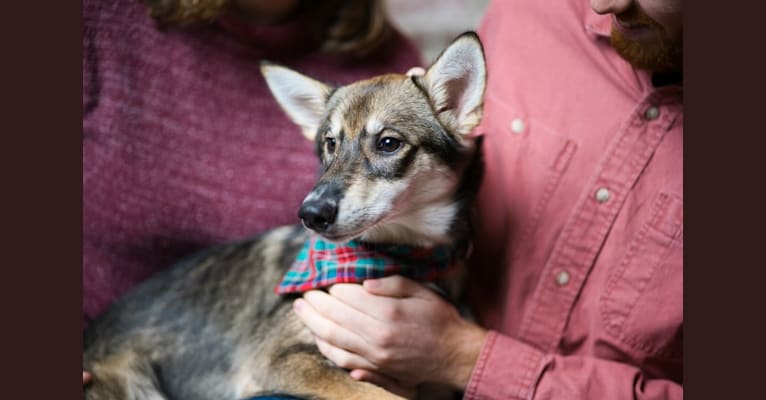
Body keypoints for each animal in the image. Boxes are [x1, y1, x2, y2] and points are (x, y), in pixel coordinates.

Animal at [84, 32, 488, 400]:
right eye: (330, 143)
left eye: (389, 143)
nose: (311, 213)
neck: (407, 258)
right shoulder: (276, 358)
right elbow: (375, 394)